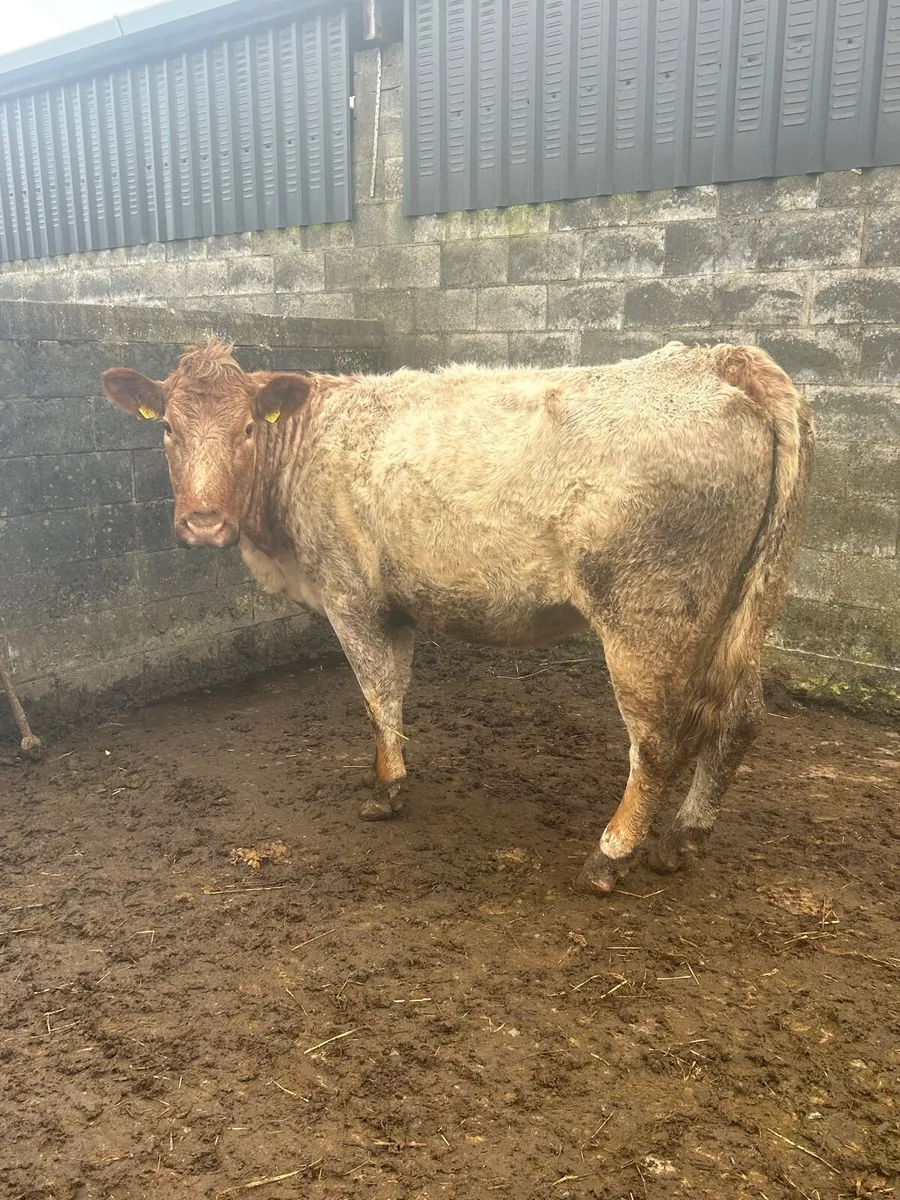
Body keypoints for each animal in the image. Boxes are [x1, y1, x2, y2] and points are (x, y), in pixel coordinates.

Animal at [101, 339, 814, 895]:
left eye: (247, 429)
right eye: (168, 428)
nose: (203, 521)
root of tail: (720, 360)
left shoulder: (350, 594)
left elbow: (377, 695)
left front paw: (386, 792)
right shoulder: (395, 604)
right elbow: (394, 692)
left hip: (648, 614)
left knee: (659, 740)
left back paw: (610, 856)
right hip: (737, 610)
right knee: (740, 719)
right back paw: (684, 839)